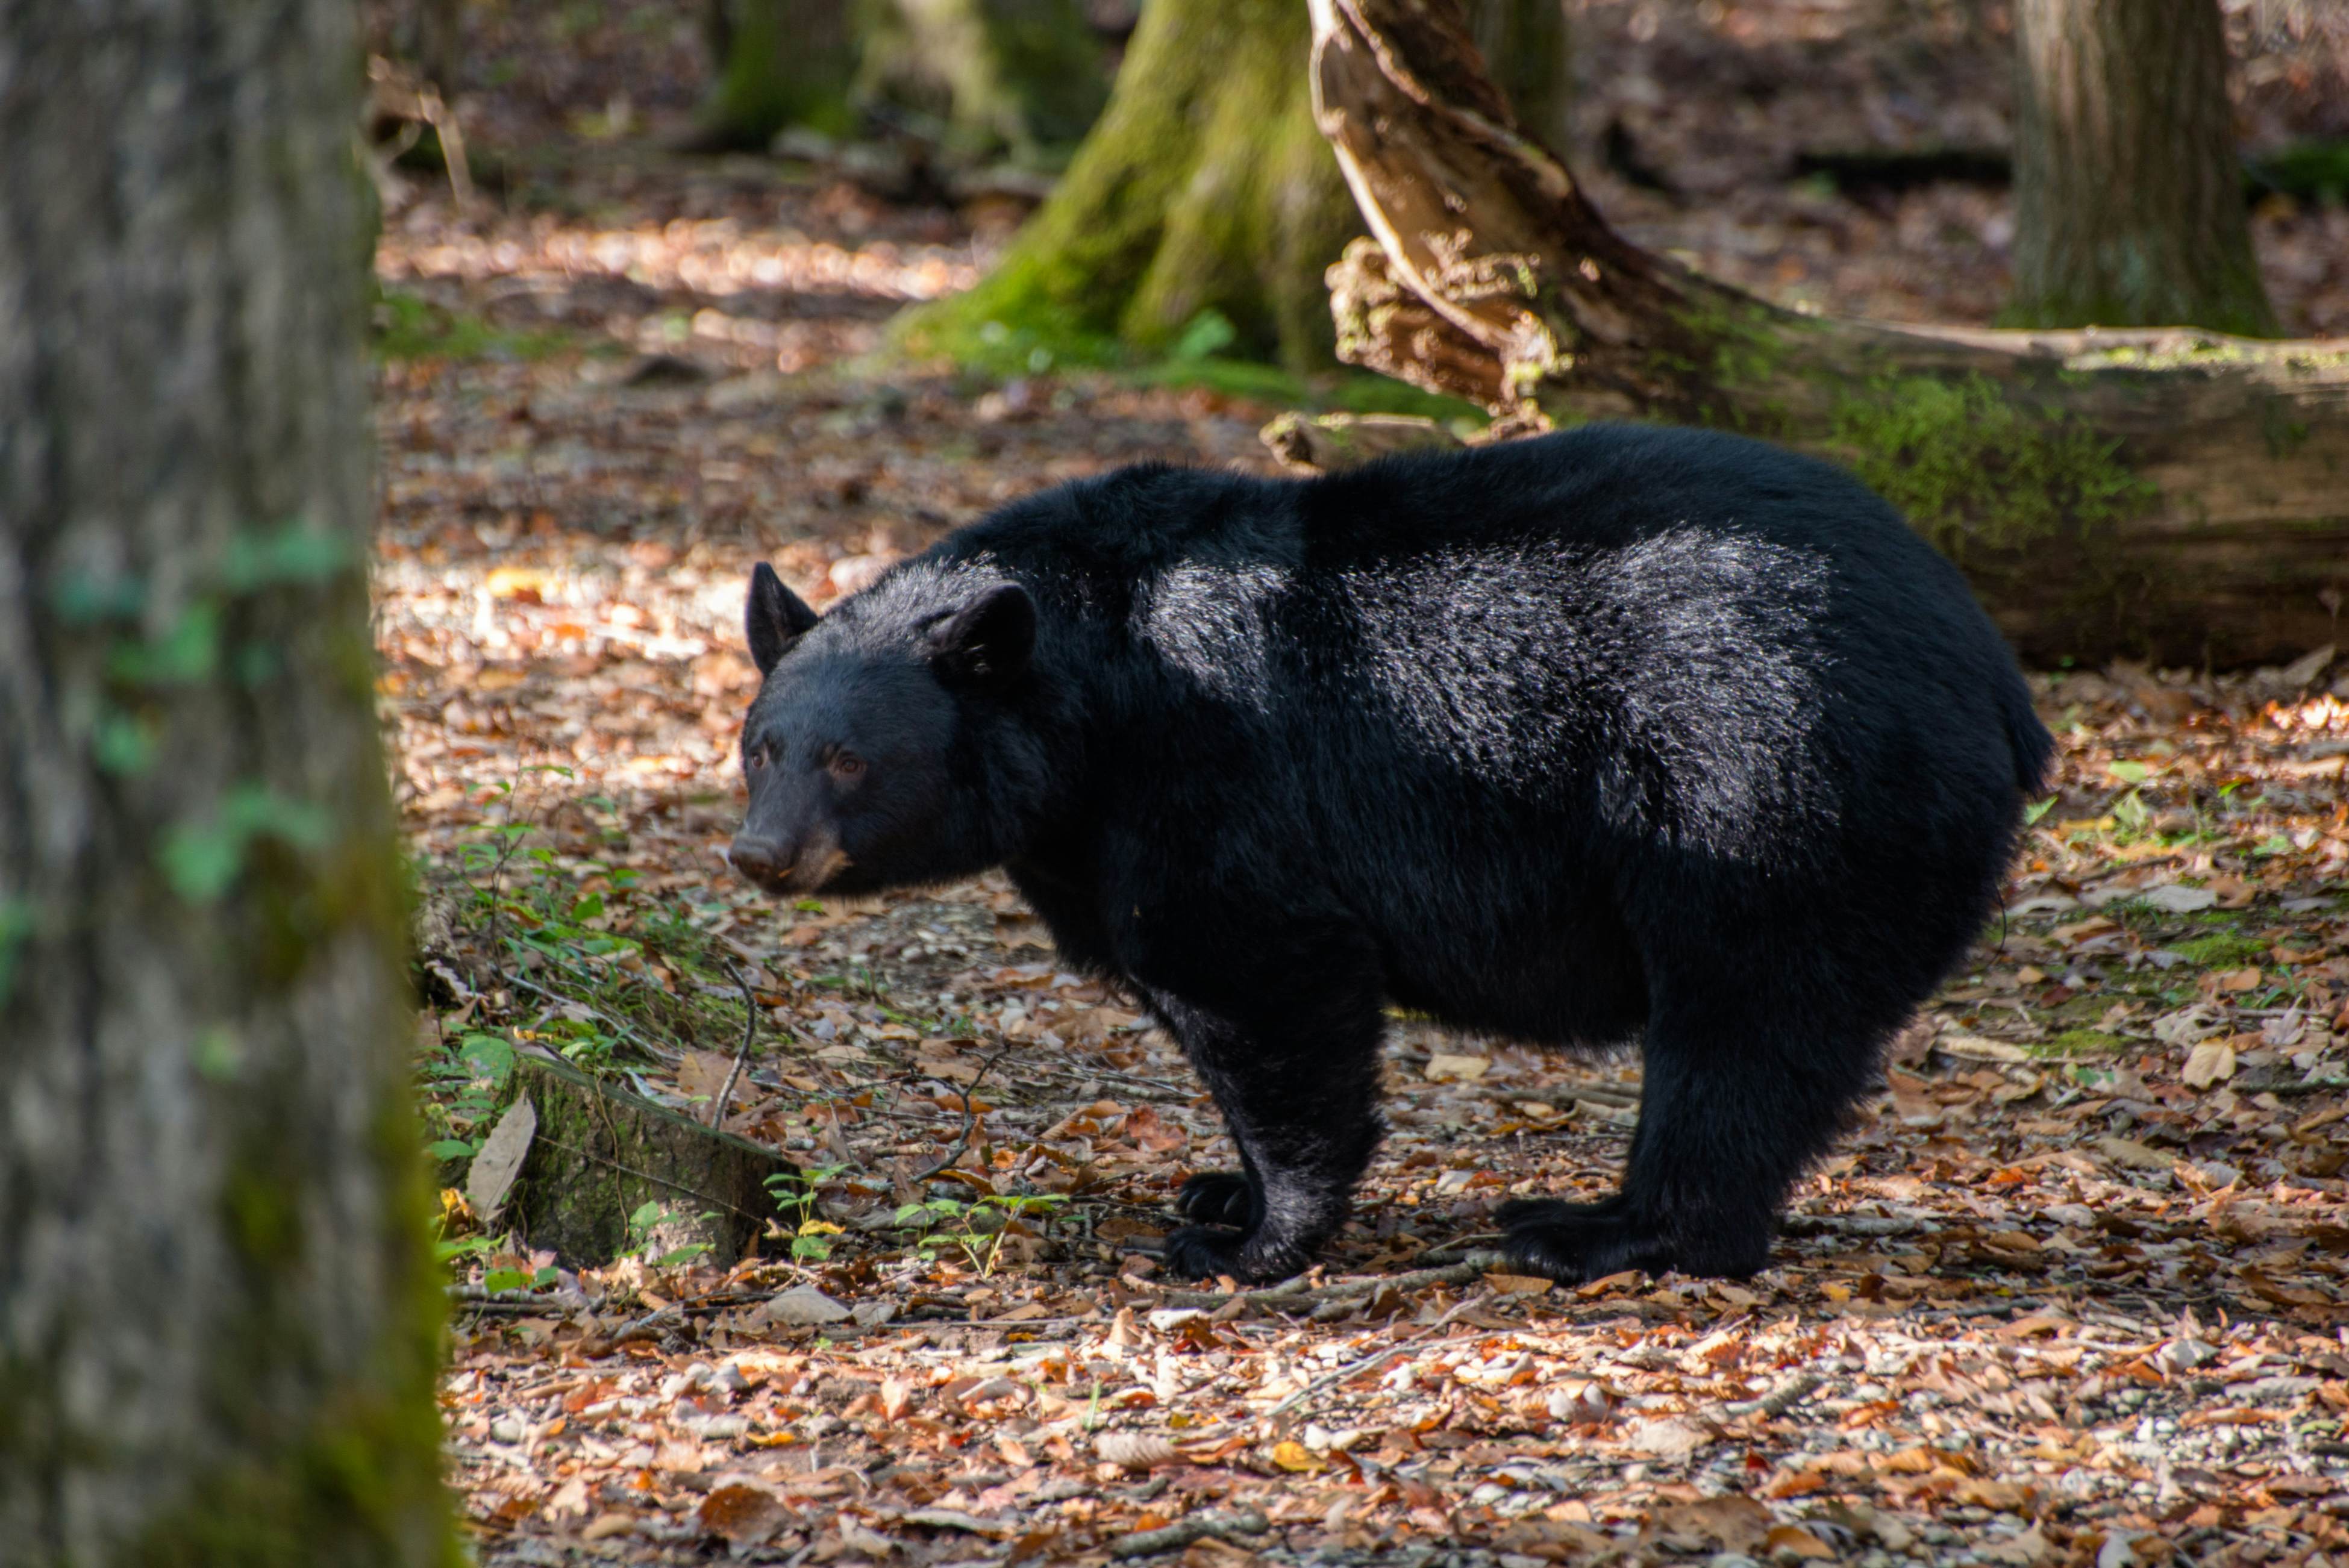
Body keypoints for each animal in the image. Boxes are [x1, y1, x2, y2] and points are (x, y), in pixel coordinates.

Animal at [728, 424, 2051, 1285]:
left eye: (847, 759)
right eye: (761, 745)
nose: (758, 852)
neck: (1092, 697)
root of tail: (1995, 682)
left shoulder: (1213, 779)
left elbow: (1261, 980)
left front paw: (1246, 1235)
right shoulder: (1083, 833)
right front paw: (1219, 1185)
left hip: (1766, 784)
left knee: (1744, 1024)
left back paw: (1601, 1229)